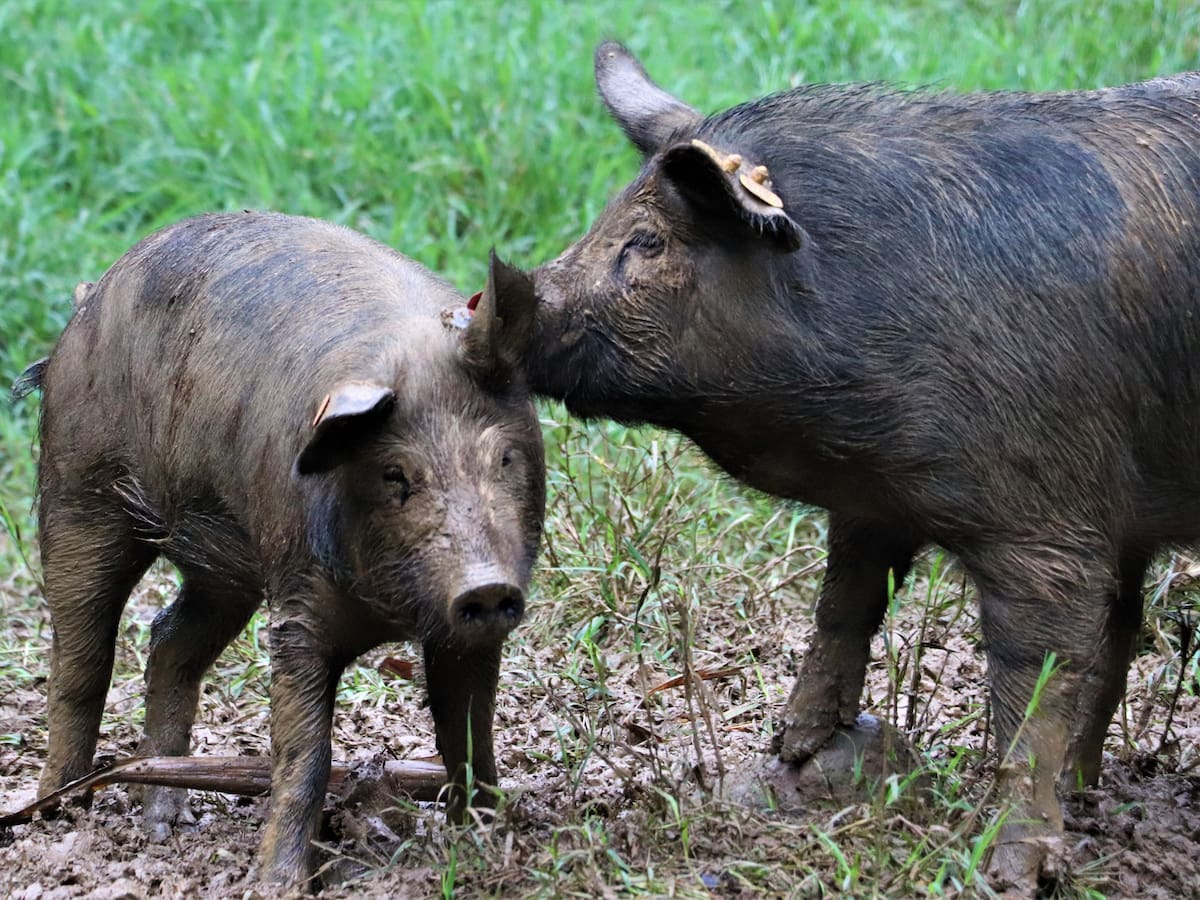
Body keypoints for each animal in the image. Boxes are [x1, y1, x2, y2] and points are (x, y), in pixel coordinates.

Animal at [23, 211, 545, 888]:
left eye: (503, 458)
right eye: (396, 475)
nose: (484, 584)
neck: (392, 610)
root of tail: (86, 301)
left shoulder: (467, 631)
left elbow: (470, 728)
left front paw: (484, 845)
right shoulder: (296, 597)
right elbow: (304, 747)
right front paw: (279, 884)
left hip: (224, 569)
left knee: (169, 641)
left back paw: (162, 819)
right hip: (76, 487)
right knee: (81, 653)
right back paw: (57, 809)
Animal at [497, 41, 1200, 890]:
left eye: (648, 242)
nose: (481, 302)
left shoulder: (1046, 517)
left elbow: (1031, 682)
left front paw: (1007, 870)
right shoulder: (876, 503)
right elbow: (845, 604)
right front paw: (793, 750)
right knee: (1125, 628)